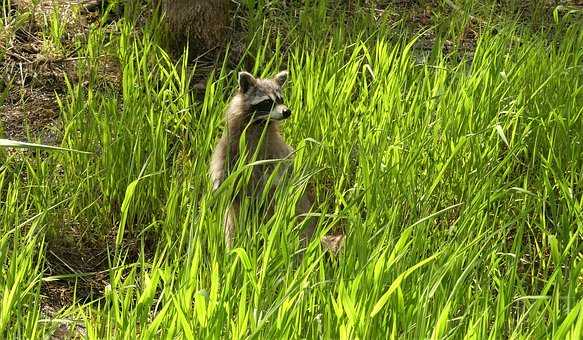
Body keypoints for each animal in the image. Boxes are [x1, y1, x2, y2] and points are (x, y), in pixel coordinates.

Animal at [210, 69, 318, 250]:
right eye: (267, 102)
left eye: (281, 99)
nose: (287, 111)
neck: (259, 123)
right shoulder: (229, 146)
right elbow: (222, 174)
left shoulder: (274, 150)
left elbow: (280, 172)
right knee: (232, 229)